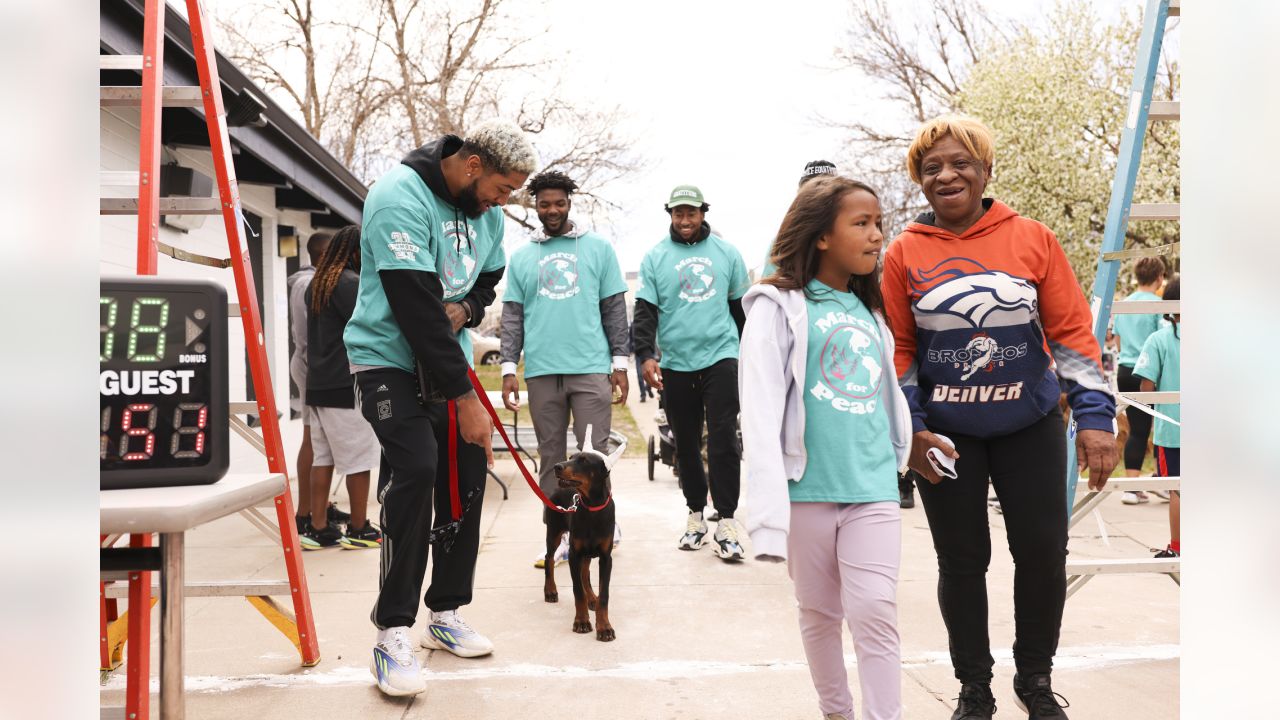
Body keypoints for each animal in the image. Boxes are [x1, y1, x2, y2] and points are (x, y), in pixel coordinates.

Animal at [542, 448, 616, 638]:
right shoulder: (574, 554)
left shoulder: (606, 558)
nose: (557, 466)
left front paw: (604, 627)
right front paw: (582, 622)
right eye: (570, 457)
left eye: (583, 460)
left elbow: (604, 594)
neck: (592, 508)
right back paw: (550, 590)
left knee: (585, 573)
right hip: (554, 531)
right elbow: (577, 592)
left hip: (586, 552)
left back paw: (592, 599)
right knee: (549, 558)